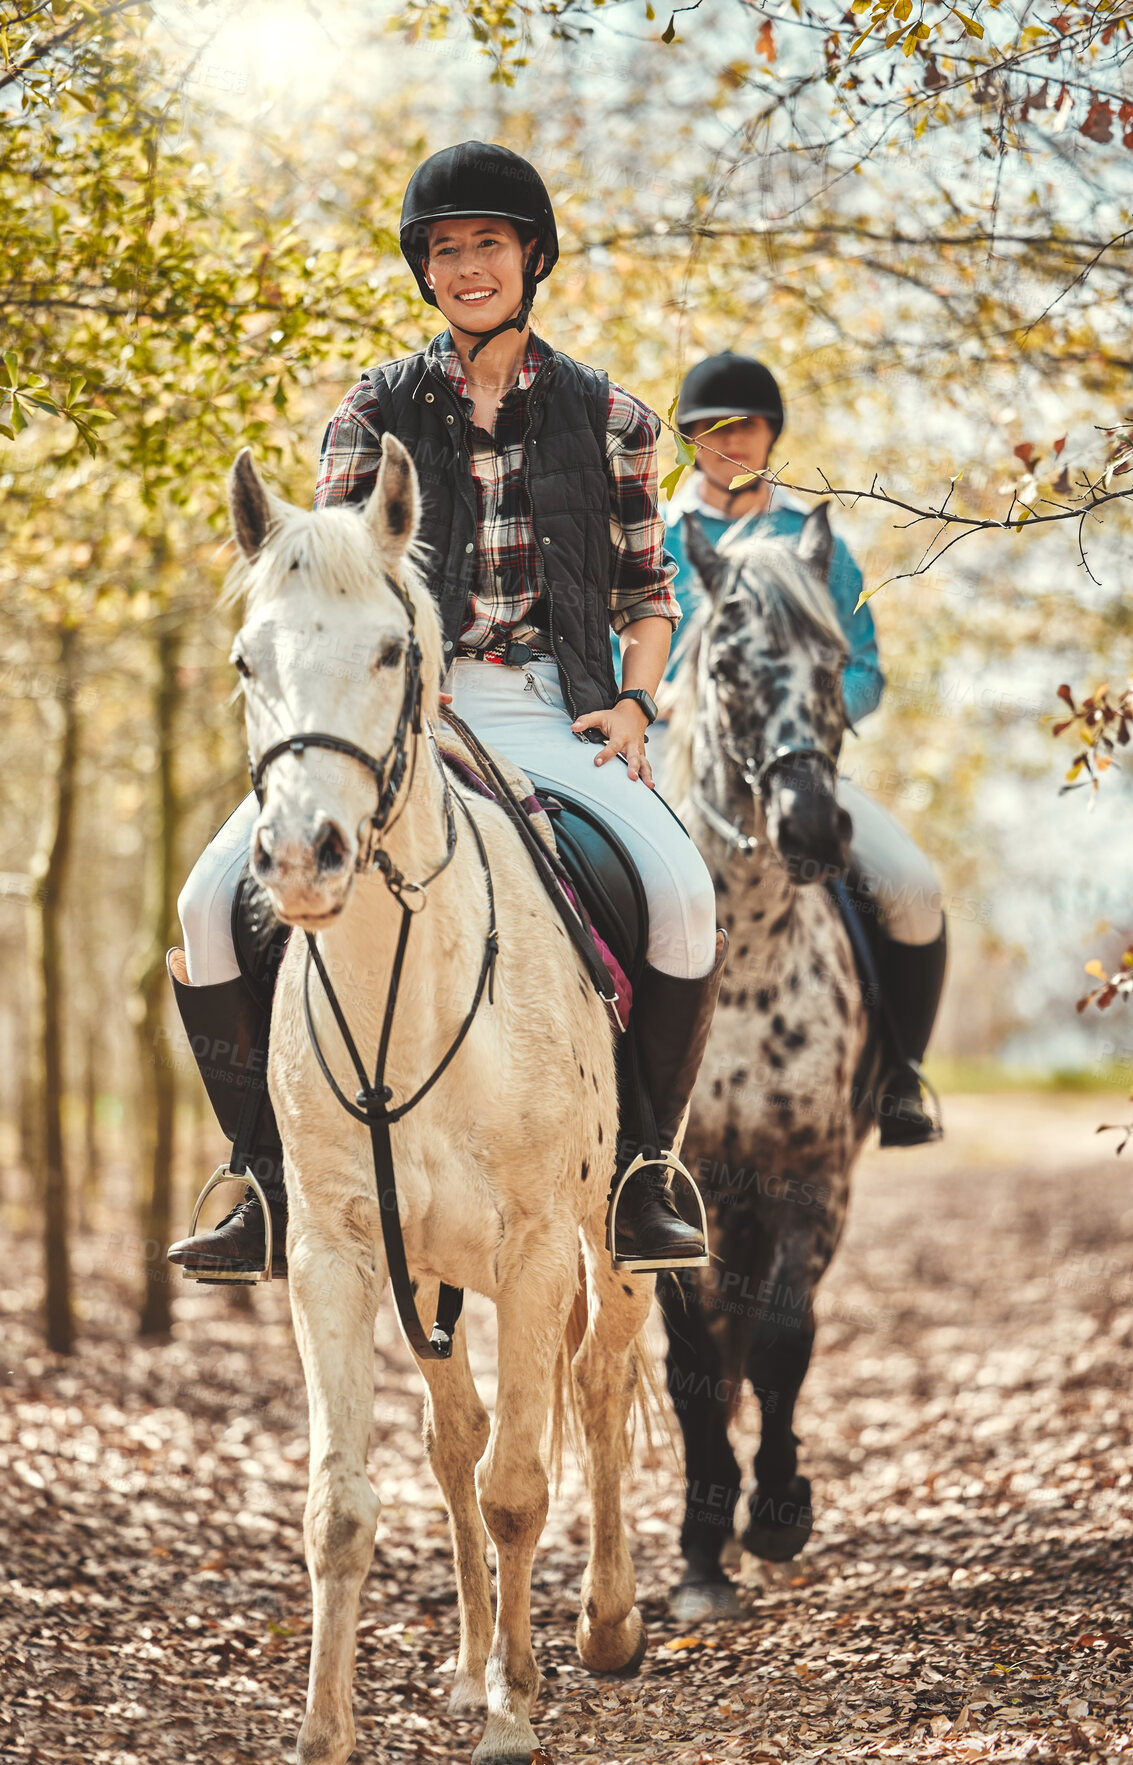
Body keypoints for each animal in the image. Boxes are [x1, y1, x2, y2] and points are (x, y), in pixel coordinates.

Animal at [225, 437, 649, 1765]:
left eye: (389, 650)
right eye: (246, 660)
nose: (299, 857)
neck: (399, 997)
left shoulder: (533, 1248)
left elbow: (520, 1485)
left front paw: (512, 1719)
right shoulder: (335, 1252)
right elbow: (344, 1507)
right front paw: (329, 1731)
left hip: (607, 1236)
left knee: (596, 1379)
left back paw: (597, 1627)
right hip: (430, 1276)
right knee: (454, 1436)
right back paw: (473, 1663)